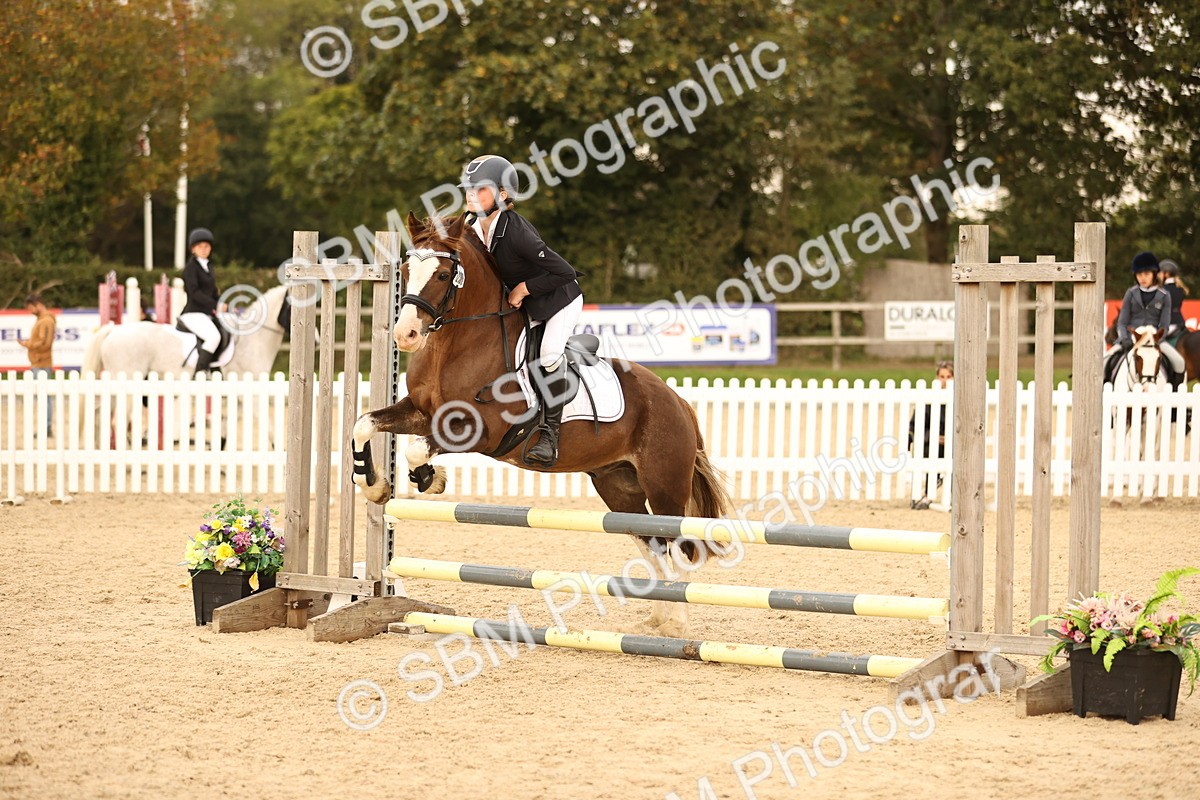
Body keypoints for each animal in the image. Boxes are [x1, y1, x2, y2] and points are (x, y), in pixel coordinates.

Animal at [351, 213, 733, 637]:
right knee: (652, 544)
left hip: (664, 485)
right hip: (618, 487)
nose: (406, 335)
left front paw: (430, 479)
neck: (458, 345)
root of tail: (678, 401)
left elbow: (418, 447)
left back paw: (676, 624)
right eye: (404, 271)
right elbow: (364, 424)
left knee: (675, 542)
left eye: (444, 273)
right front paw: (377, 487)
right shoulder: (419, 412)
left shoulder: (480, 430)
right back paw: (659, 617)